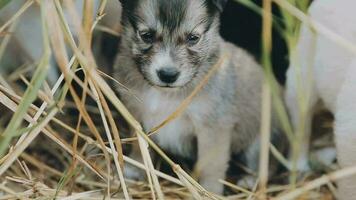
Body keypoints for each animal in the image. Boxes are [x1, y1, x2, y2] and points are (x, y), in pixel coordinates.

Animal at [114, 0, 284, 194]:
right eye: (146, 35)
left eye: (193, 38)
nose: (168, 75)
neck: (167, 94)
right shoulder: (136, 112)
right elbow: (139, 144)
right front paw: (137, 167)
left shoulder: (212, 128)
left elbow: (210, 165)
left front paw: (209, 191)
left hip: (261, 141)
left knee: (268, 164)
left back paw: (251, 180)